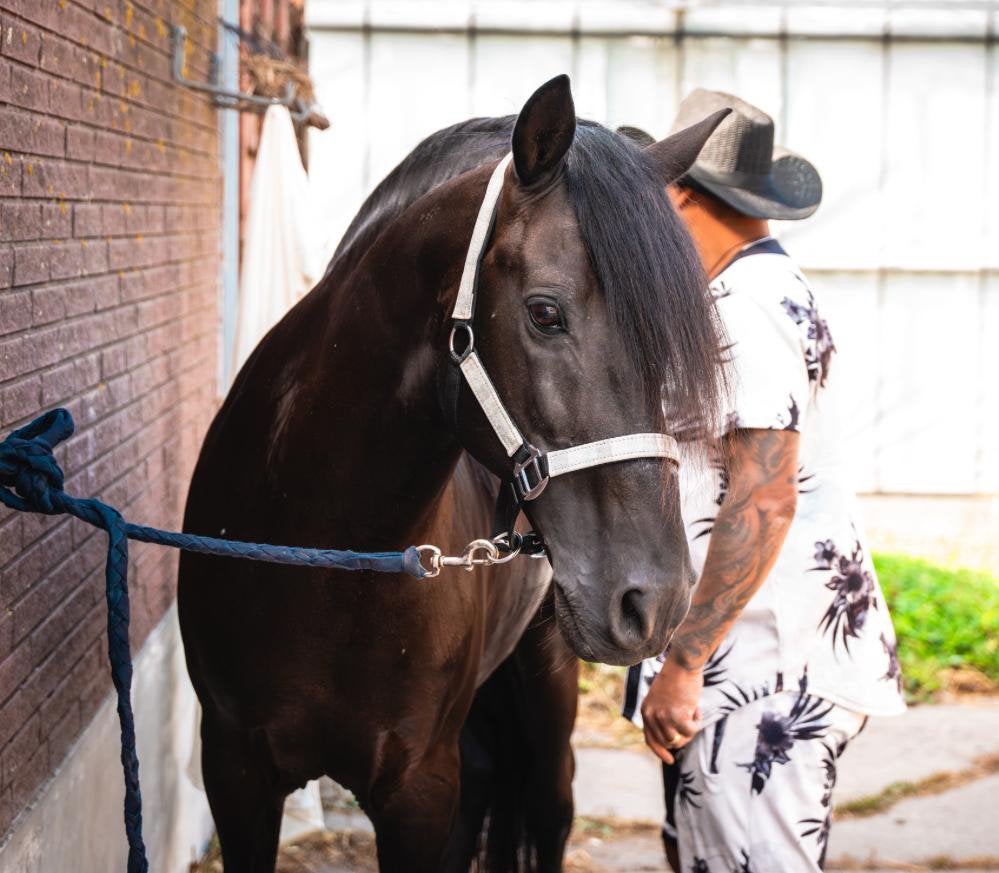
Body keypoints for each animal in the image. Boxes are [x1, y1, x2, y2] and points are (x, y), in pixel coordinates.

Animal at [178, 75, 724, 873]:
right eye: (545, 313)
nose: (655, 600)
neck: (323, 554)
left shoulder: (416, 787)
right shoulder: (235, 770)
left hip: (544, 688)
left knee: (549, 806)